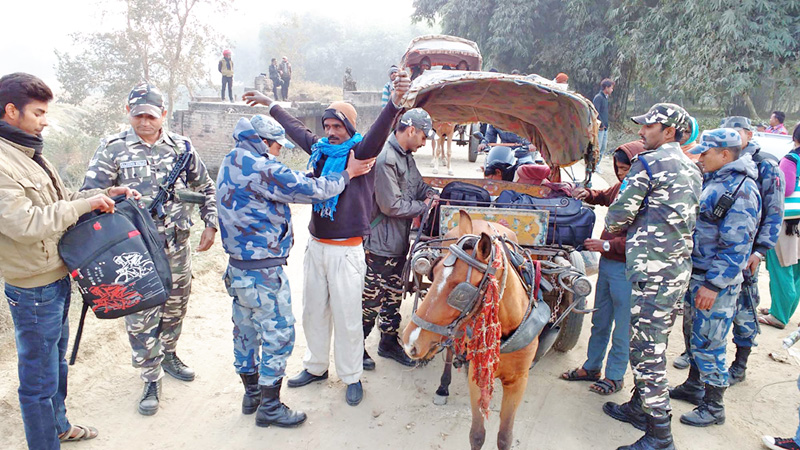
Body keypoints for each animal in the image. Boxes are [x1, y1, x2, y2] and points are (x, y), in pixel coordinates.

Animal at [404, 212, 540, 450]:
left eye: (460, 294)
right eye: (434, 271)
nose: (409, 341)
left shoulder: (519, 381)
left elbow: (505, 437)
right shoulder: (476, 377)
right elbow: (477, 434)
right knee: (450, 350)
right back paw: (443, 386)